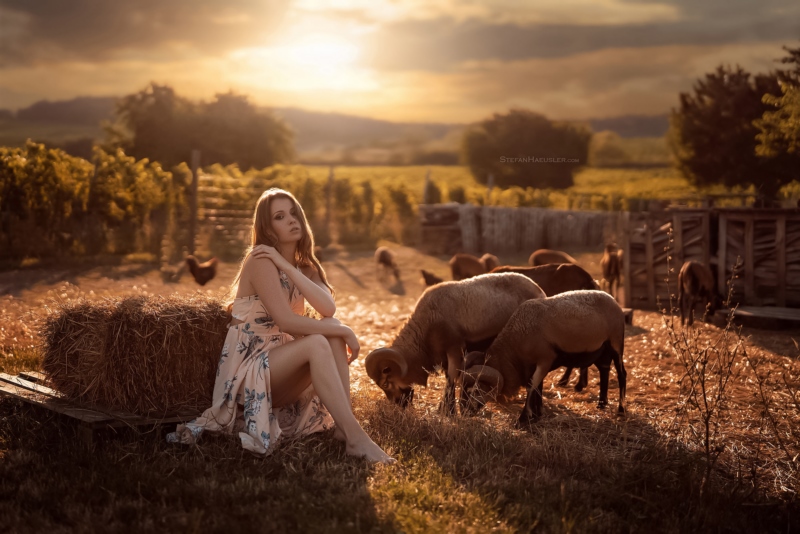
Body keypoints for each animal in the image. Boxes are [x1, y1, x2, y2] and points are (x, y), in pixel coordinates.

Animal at [366, 274, 548, 416]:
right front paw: (445, 409)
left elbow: (452, 378)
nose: (398, 405)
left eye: (385, 383)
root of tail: (539, 290)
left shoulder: (454, 349)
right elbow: (449, 377)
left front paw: (448, 411)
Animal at [462, 292, 624, 430]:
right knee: (604, 369)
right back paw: (601, 404)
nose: (463, 412)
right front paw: (537, 414)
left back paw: (621, 410)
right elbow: (537, 387)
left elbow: (532, 386)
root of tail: (612, 299)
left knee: (622, 374)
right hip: (600, 351)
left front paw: (522, 419)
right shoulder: (531, 365)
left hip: (615, 343)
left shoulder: (545, 360)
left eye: (473, 390)